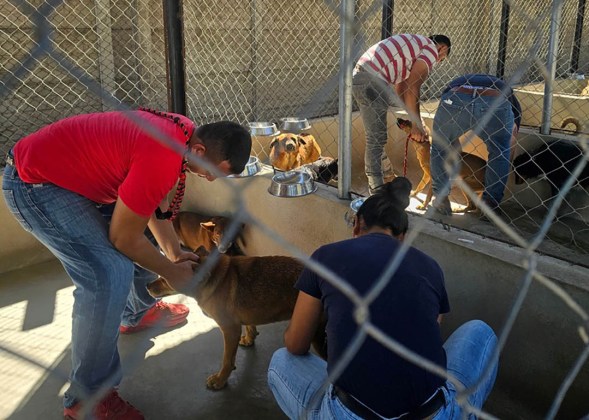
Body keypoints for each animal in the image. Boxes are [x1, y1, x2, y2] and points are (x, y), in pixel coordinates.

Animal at [144, 246, 324, 390]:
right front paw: (249, 339)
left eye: (166, 278)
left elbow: (227, 360)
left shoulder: (229, 329)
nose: (146, 286)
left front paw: (220, 380)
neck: (212, 277)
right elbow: (250, 327)